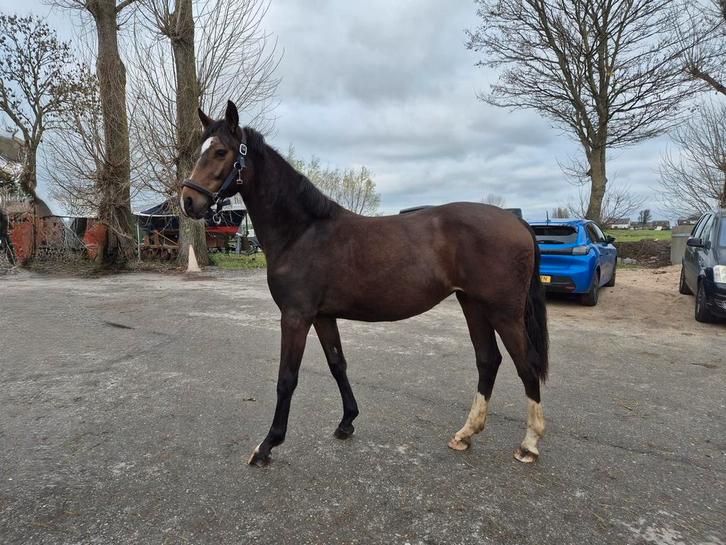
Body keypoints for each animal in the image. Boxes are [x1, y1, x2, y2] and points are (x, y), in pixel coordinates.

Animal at [181, 101, 549, 467]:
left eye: (220, 151)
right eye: (200, 150)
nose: (188, 201)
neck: (303, 231)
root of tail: (516, 220)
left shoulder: (296, 316)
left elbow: (287, 379)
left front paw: (267, 445)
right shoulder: (322, 316)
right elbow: (337, 365)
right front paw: (347, 422)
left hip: (504, 313)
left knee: (526, 366)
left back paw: (529, 445)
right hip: (472, 304)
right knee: (488, 361)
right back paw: (465, 434)